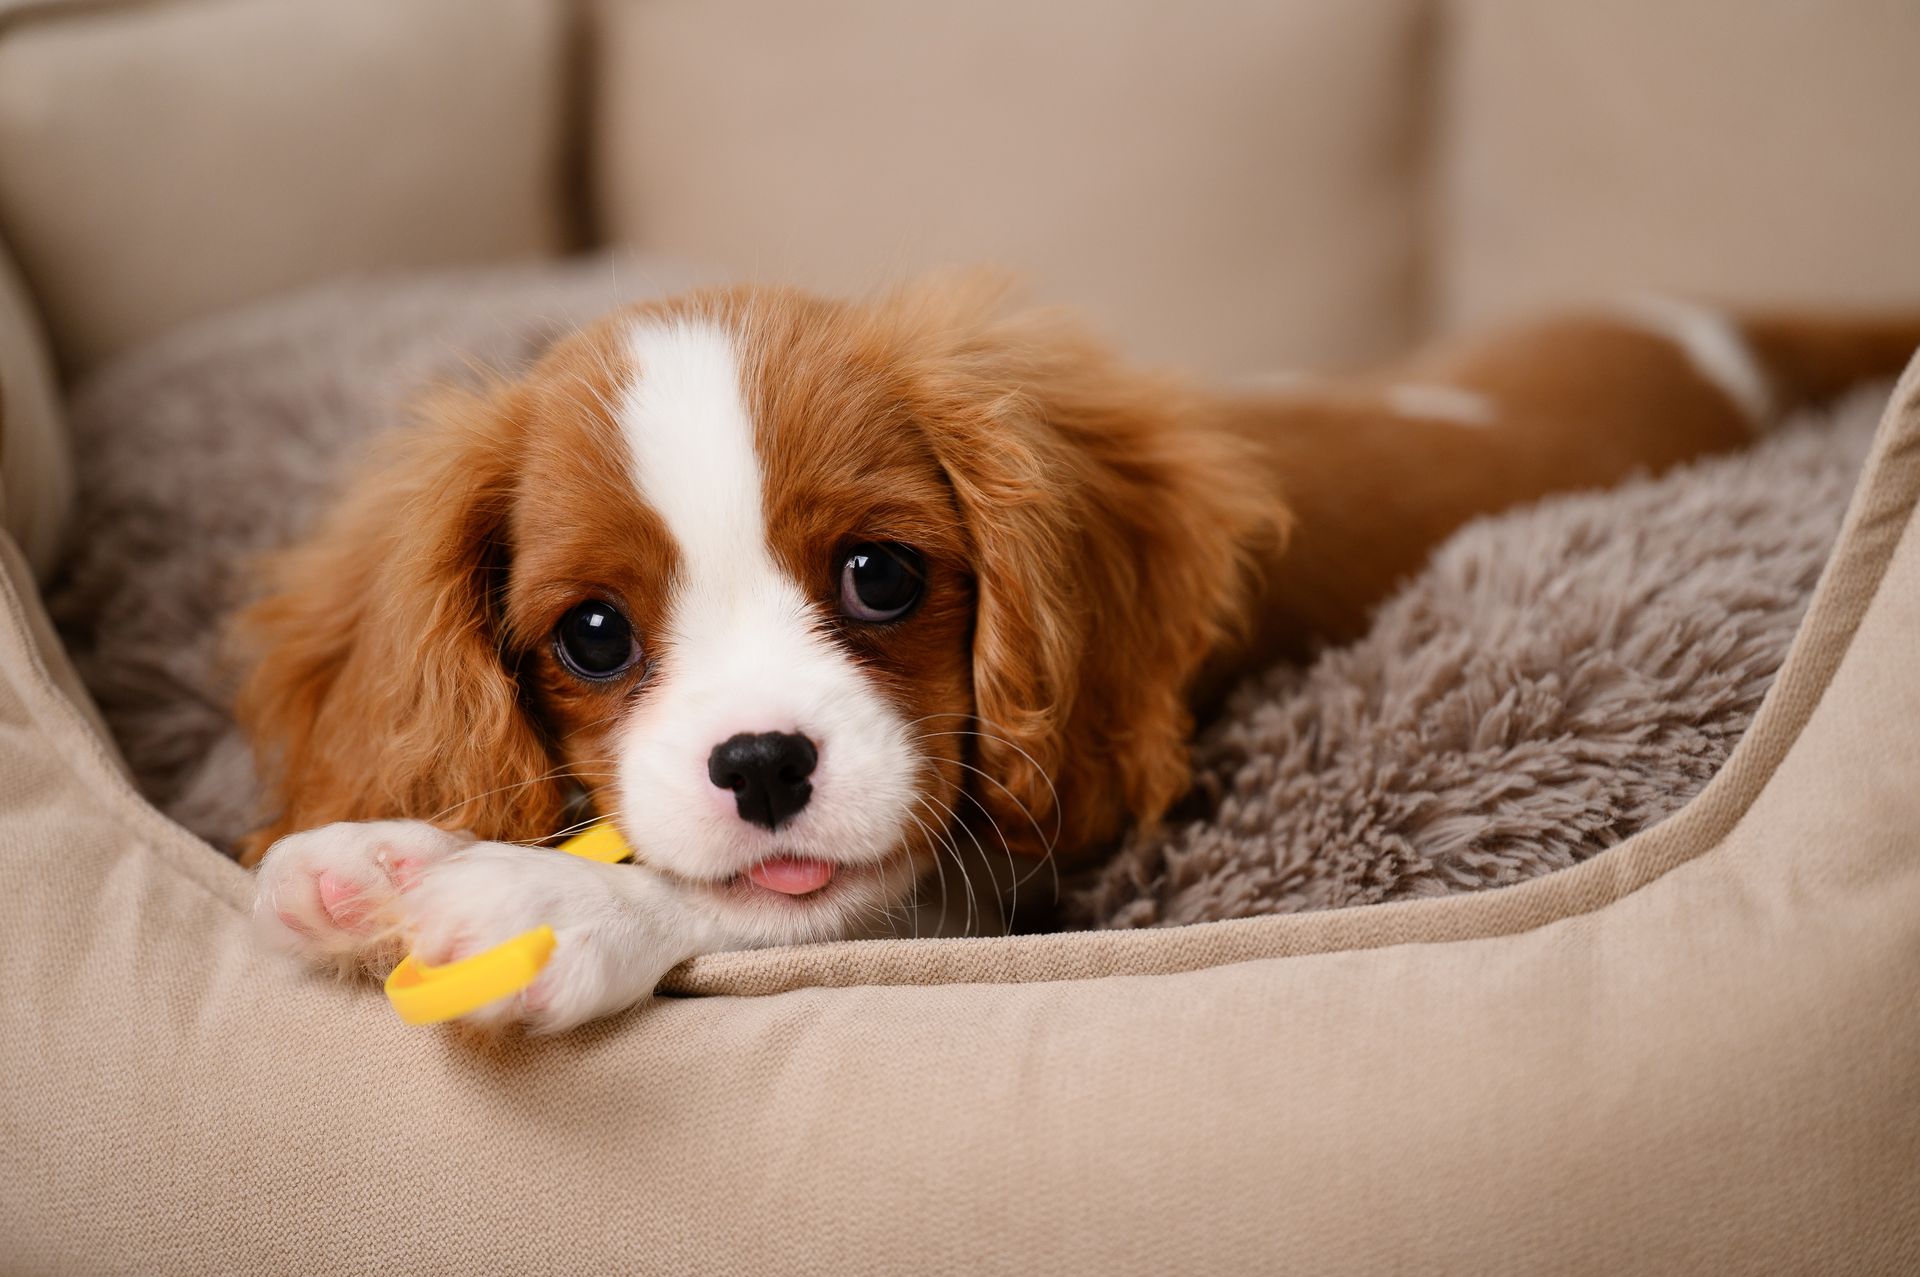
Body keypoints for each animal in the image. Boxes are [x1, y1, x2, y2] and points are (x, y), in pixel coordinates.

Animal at [240, 276, 1920, 1029]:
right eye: (592, 635)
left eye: (881, 575)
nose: (765, 765)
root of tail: (1726, 335)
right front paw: (377, 856)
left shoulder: (987, 878)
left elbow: (800, 905)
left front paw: (539, 903)